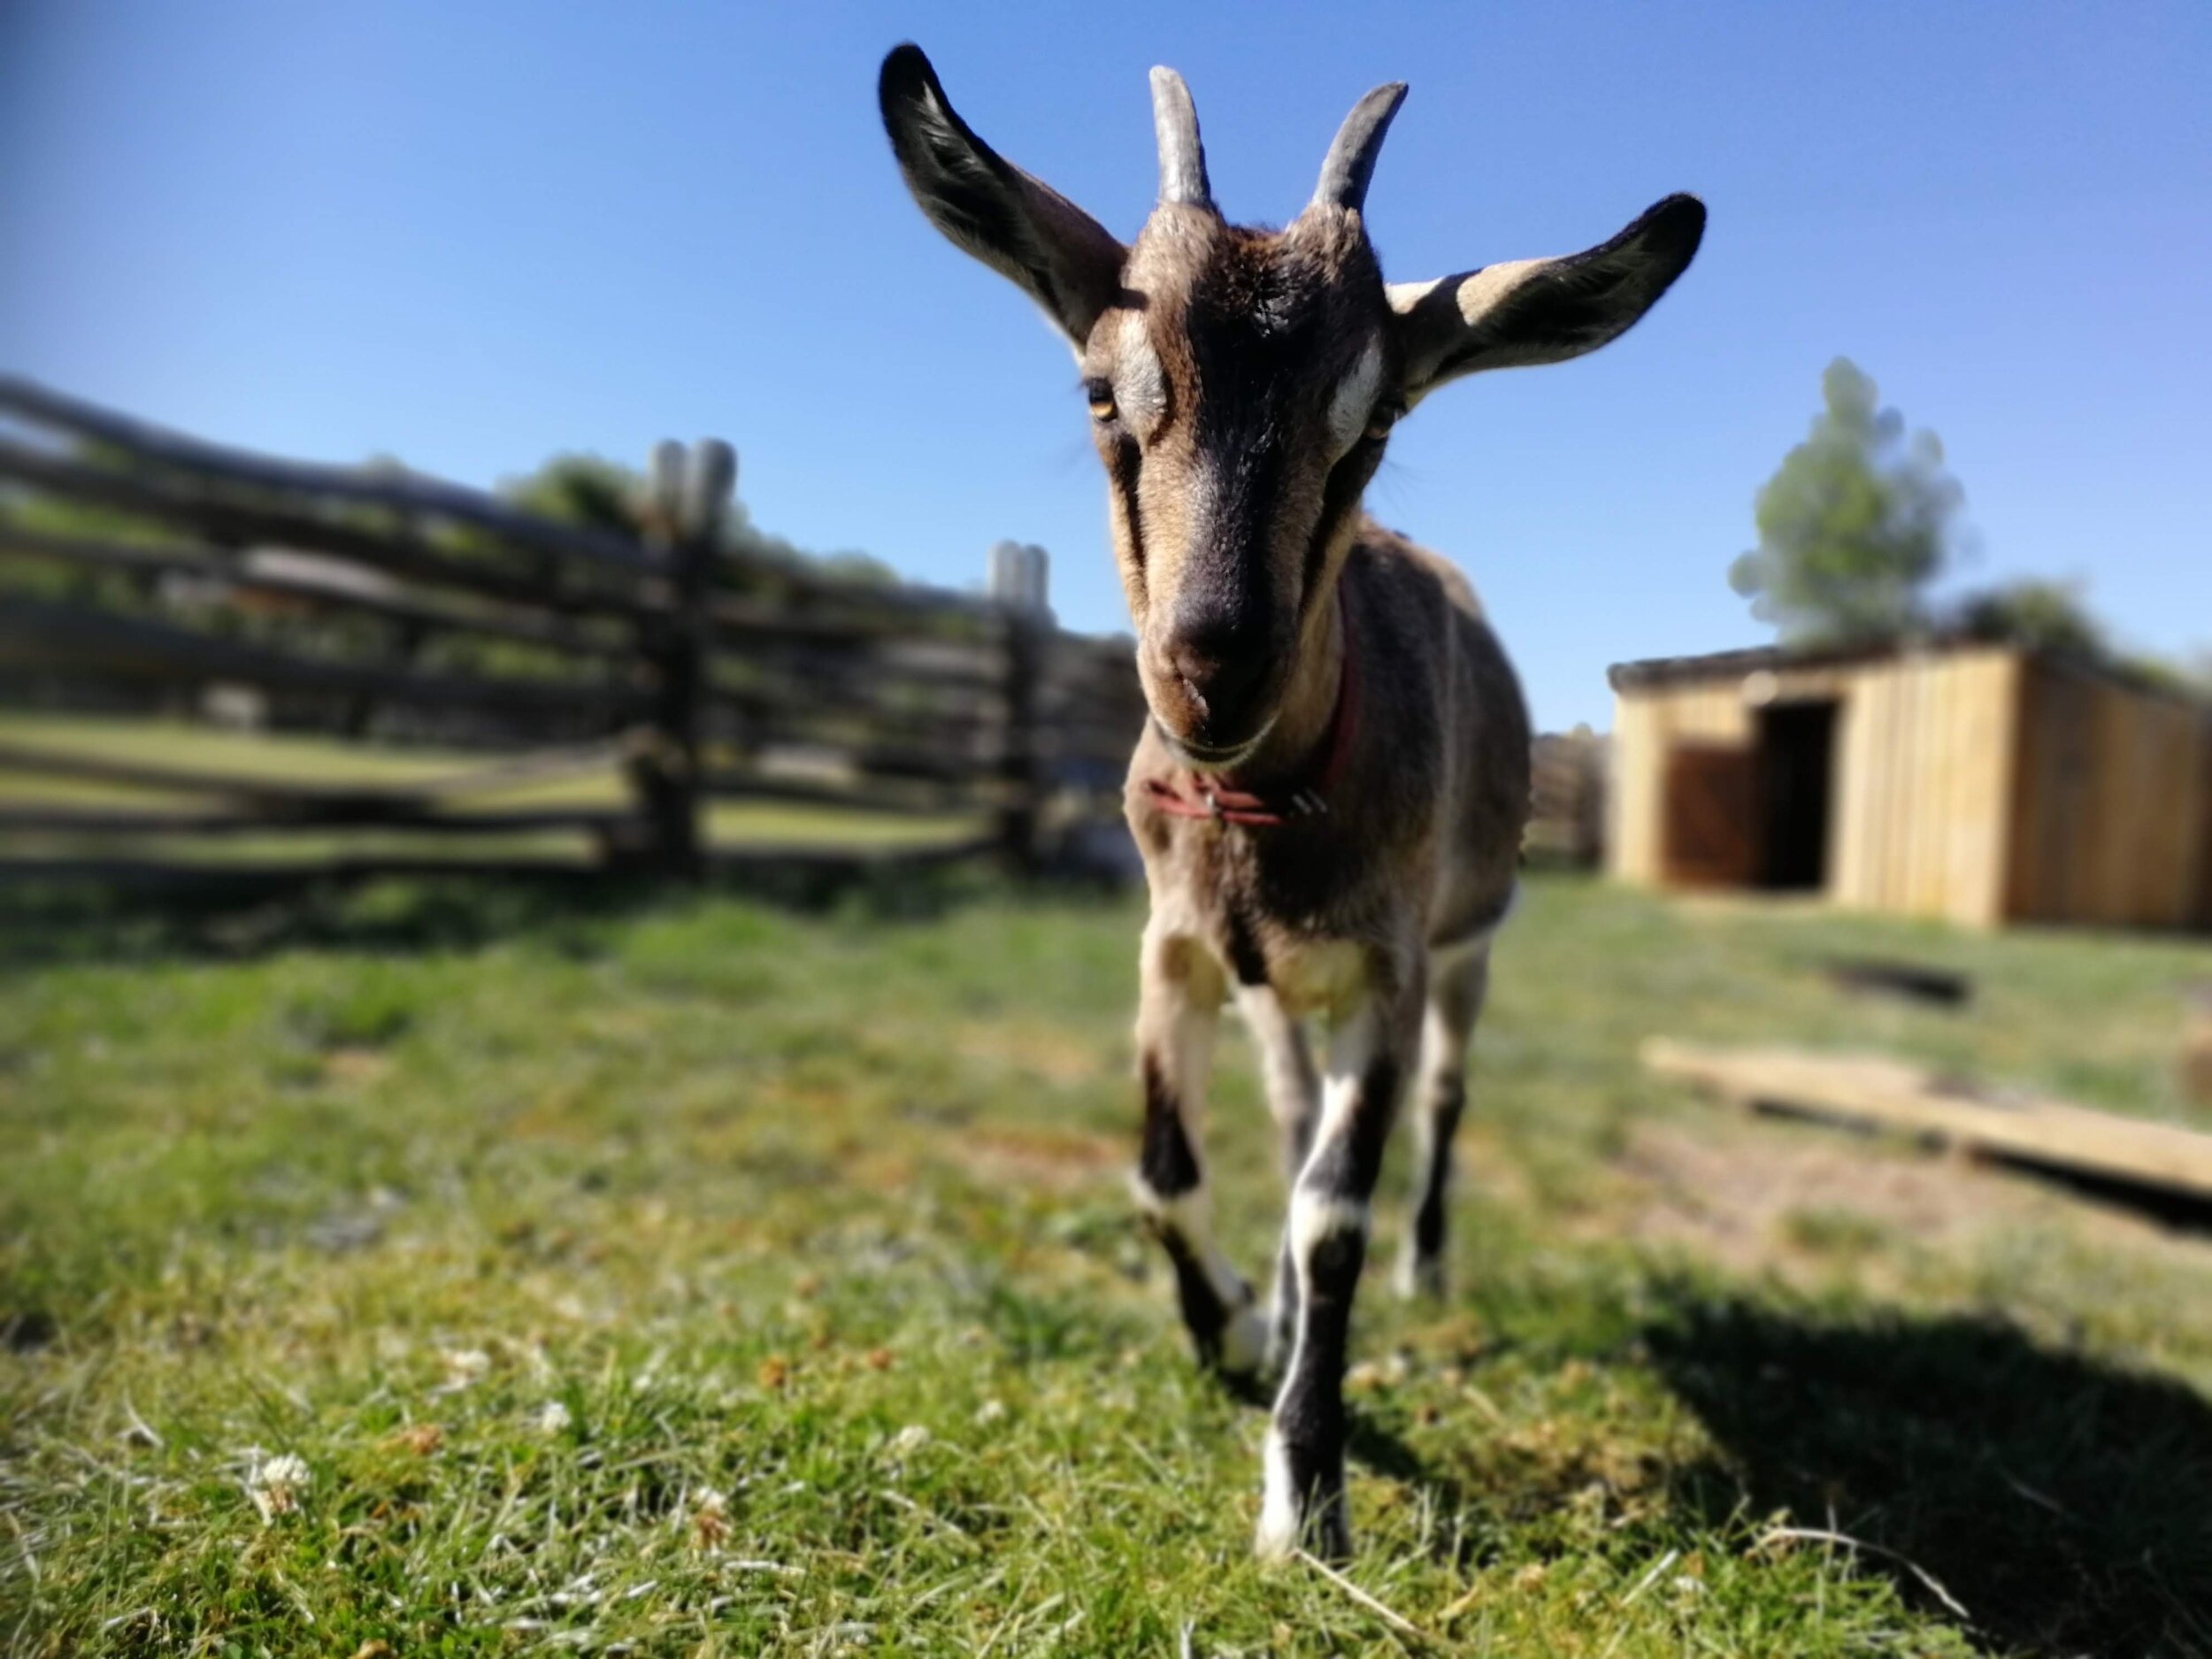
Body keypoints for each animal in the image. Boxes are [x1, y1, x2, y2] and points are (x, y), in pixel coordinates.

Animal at [872, 45, 1699, 1566]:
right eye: (1103, 392)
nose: (1213, 661)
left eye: (1371, 421)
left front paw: (1307, 1492)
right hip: (1276, 996)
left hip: (1468, 951)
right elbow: (1166, 1171)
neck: (1267, 805)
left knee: (1439, 1104)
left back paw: (1429, 1266)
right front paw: (1234, 1326)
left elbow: (1337, 1213)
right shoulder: (1179, 949)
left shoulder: (1386, 966)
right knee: (1286, 1111)